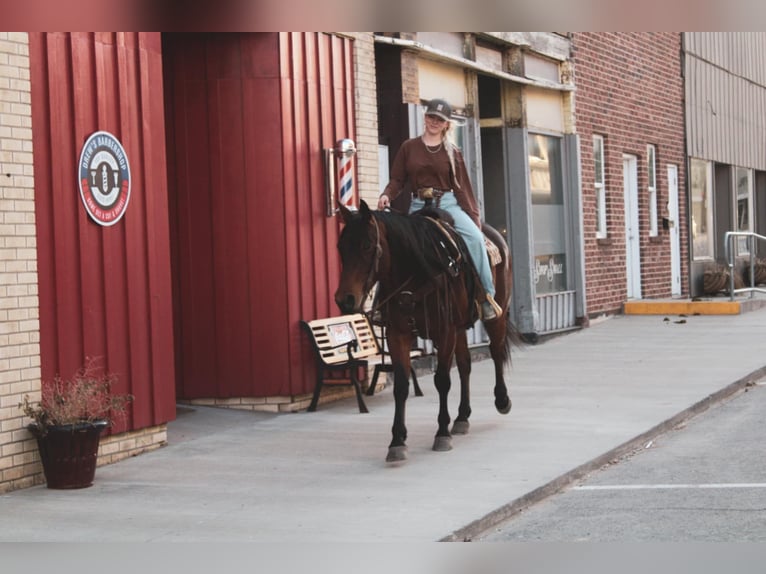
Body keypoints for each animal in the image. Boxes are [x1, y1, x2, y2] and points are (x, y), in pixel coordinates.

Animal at [334, 201, 520, 464]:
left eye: (367, 245)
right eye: (340, 246)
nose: (345, 299)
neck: (415, 274)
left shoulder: (445, 331)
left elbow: (442, 380)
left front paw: (441, 433)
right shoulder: (398, 334)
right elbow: (402, 385)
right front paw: (397, 441)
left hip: (497, 313)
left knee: (495, 352)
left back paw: (502, 400)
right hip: (460, 327)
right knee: (465, 365)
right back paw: (462, 417)